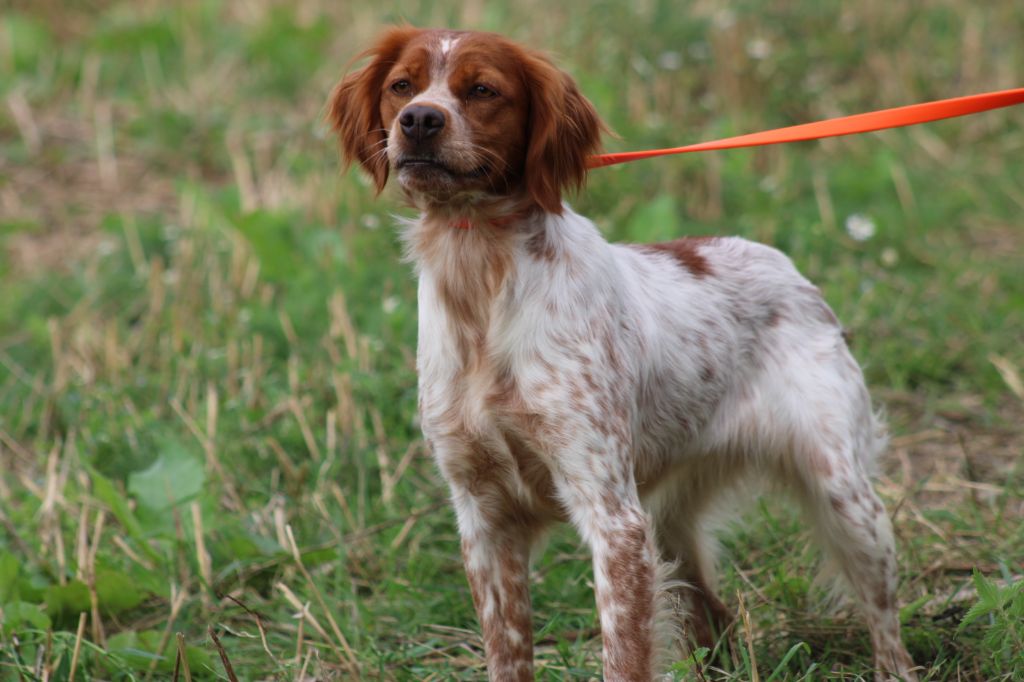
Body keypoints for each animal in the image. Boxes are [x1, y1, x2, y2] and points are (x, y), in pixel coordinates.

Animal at [327, 27, 917, 681]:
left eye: (483, 90)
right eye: (401, 85)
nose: (420, 120)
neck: (482, 276)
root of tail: (789, 268)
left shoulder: (613, 518)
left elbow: (625, 653)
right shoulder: (484, 519)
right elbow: (507, 650)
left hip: (846, 500)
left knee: (885, 623)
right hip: (673, 520)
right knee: (714, 617)